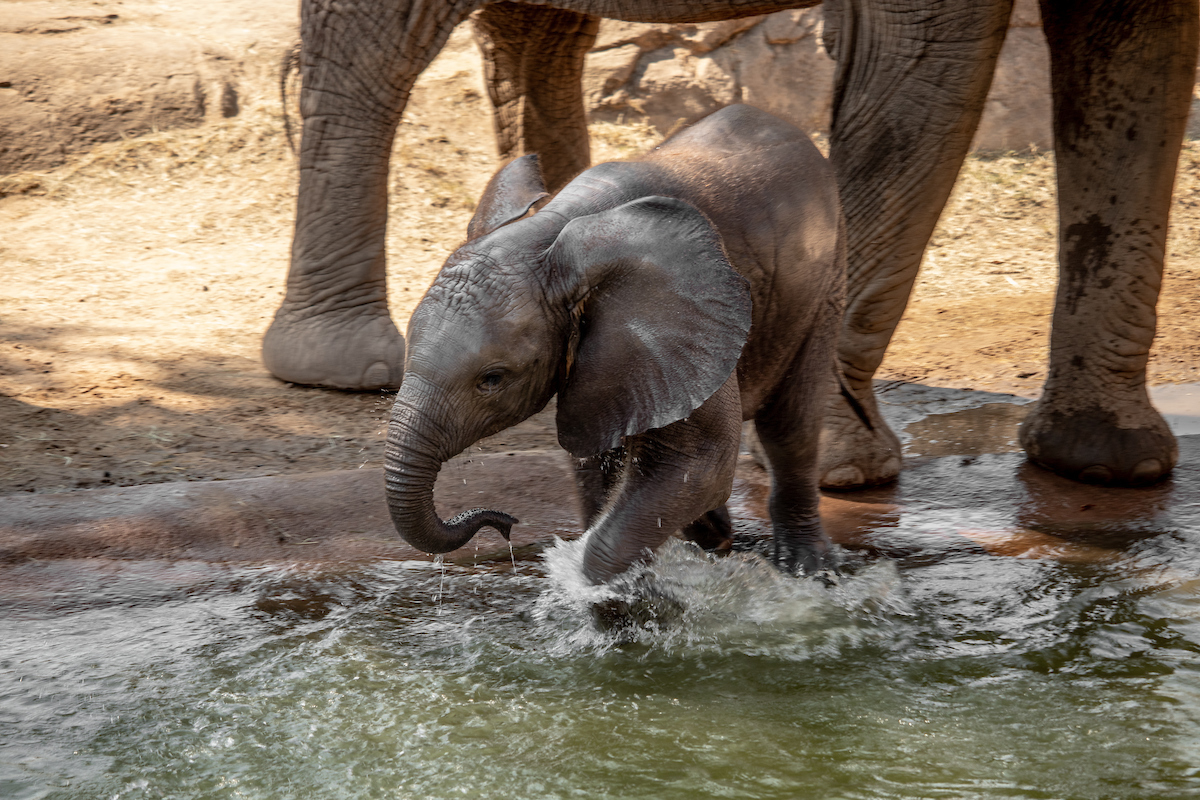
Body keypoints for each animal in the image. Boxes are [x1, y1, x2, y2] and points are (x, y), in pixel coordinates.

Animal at [267, 1, 1195, 489]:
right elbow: (920, 82)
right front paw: (845, 470)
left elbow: (1139, 71)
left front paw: (1108, 463)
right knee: (374, 49)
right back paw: (343, 366)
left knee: (539, 29)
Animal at [384, 104, 844, 582]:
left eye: (491, 379)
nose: (506, 523)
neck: (549, 228)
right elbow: (595, 456)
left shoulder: (686, 316)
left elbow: (703, 462)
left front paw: (596, 589)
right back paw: (716, 538)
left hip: (824, 282)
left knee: (790, 425)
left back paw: (808, 570)